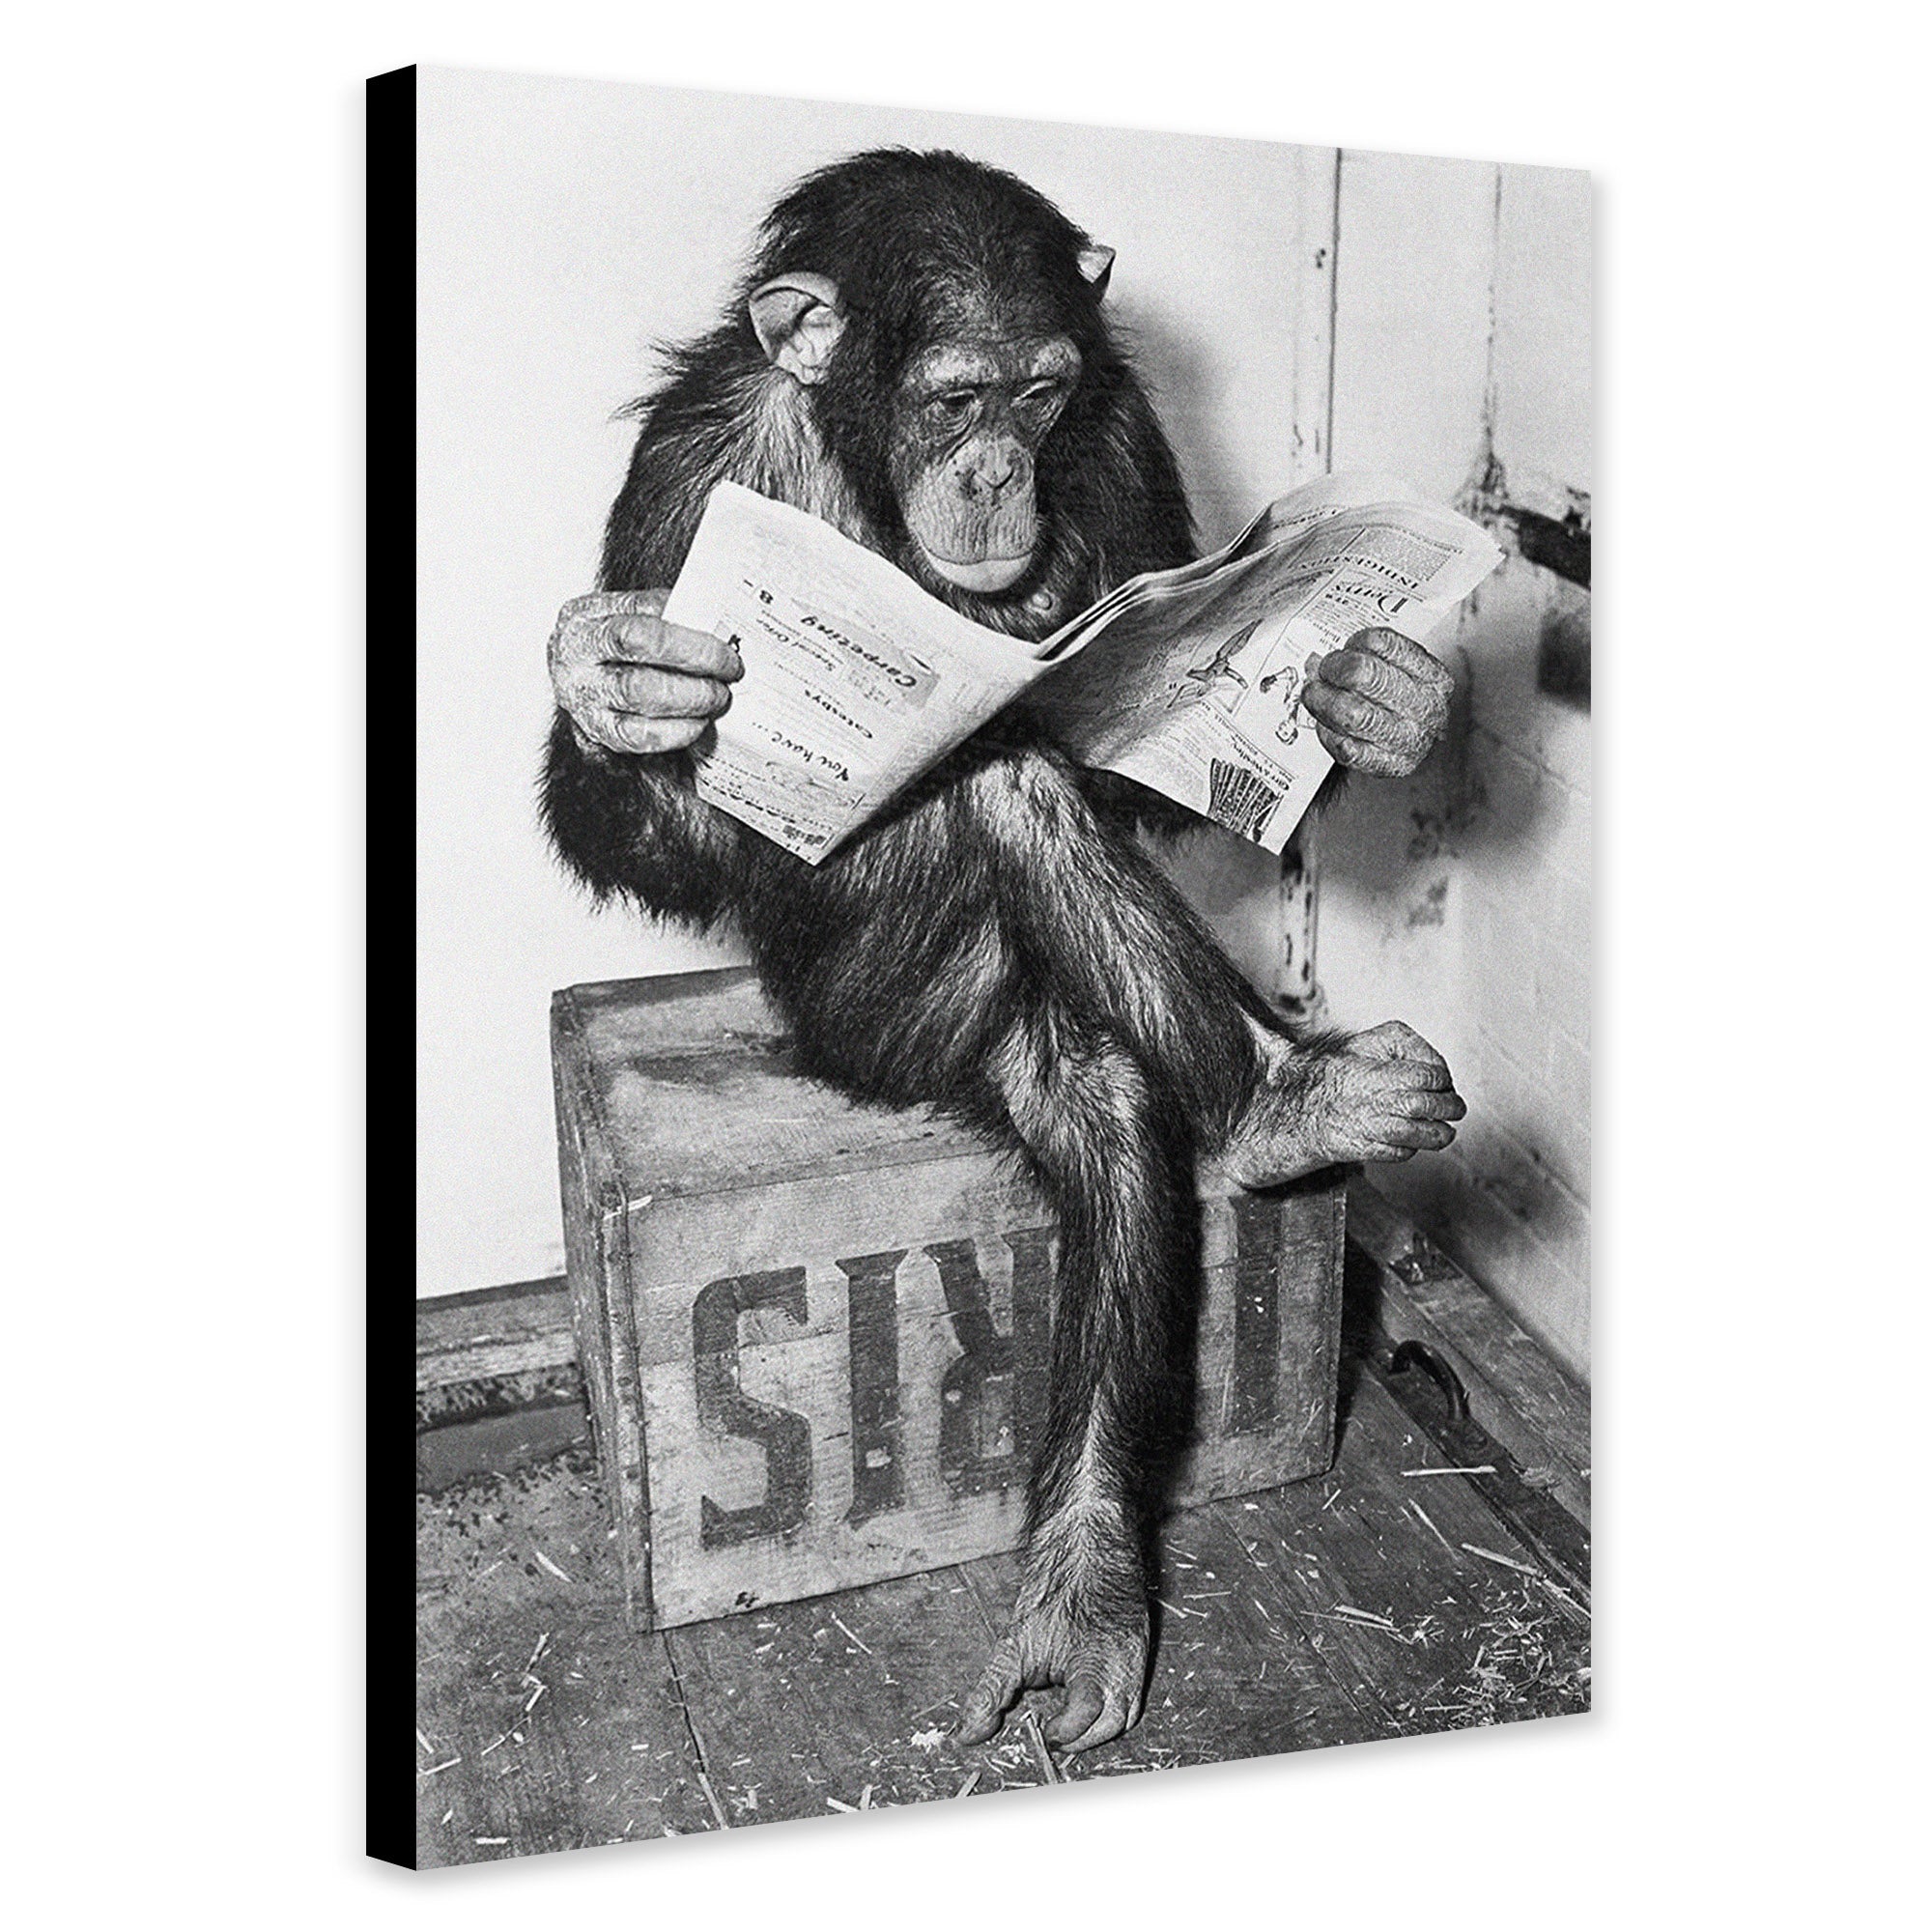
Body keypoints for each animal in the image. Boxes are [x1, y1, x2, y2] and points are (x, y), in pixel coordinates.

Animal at [541, 149, 1463, 1753]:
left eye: (1038, 396)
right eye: (952, 398)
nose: (991, 471)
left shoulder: (1127, 423)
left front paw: (1377, 696)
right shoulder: (686, 471)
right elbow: (660, 827)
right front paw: (616, 684)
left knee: (1107, 1101)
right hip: (883, 1016)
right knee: (999, 791)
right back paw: (1278, 1107)